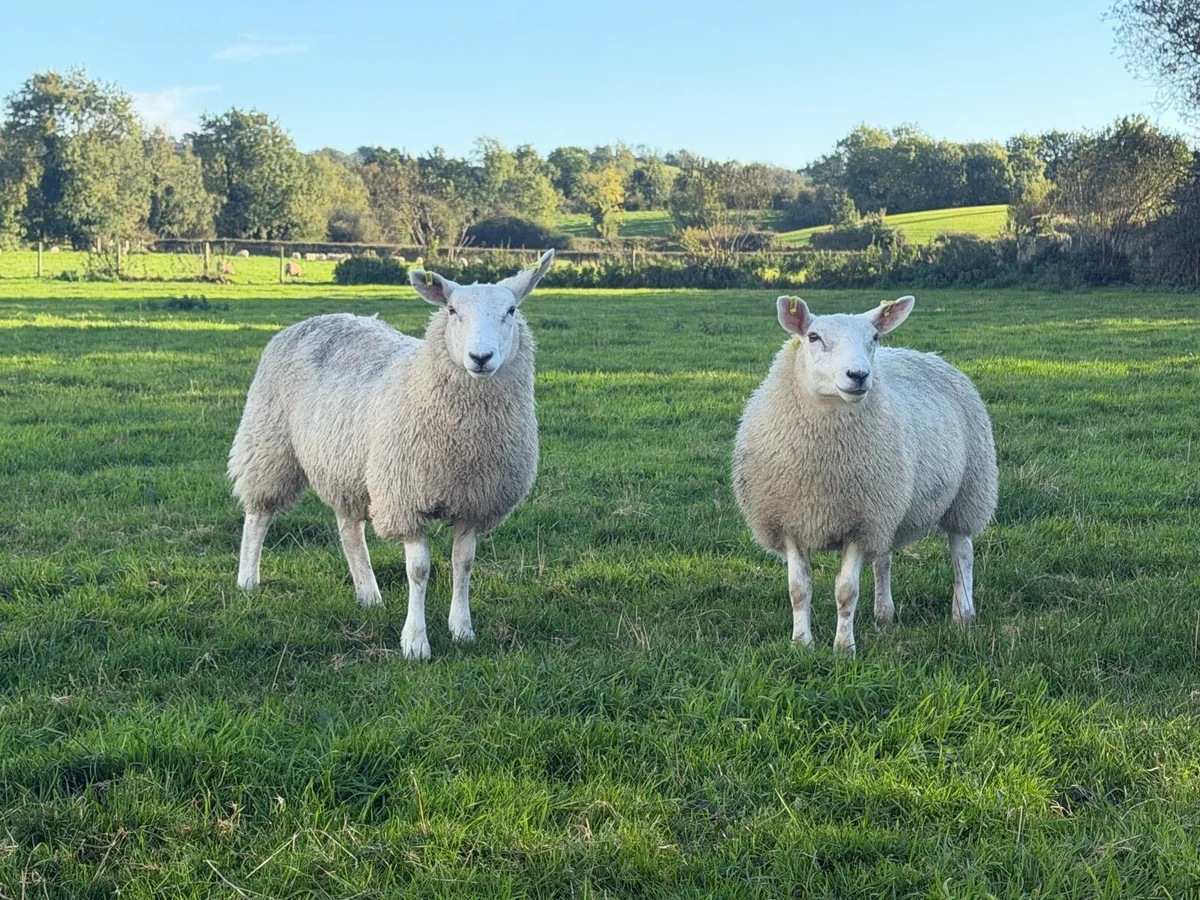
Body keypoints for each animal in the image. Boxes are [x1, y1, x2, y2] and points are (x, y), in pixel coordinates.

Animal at [228, 249, 556, 660]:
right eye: (451, 310)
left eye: (511, 310)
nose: (480, 357)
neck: (465, 440)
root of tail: (319, 317)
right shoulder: (405, 498)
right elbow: (419, 570)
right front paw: (415, 642)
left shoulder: (474, 501)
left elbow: (463, 563)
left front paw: (462, 629)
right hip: (268, 442)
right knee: (258, 514)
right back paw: (247, 579)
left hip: (345, 465)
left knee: (349, 530)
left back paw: (368, 594)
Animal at [732, 295, 997, 654]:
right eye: (813, 337)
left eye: (874, 337)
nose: (858, 375)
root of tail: (926, 354)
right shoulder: (792, 524)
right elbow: (799, 590)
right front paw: (801, 643)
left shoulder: (860, 526)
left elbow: (846, 591)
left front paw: (844, 648)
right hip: (890, 508)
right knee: (883, 560)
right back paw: (884, 613)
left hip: (969, 490)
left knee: (962, 554)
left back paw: (963, 613)